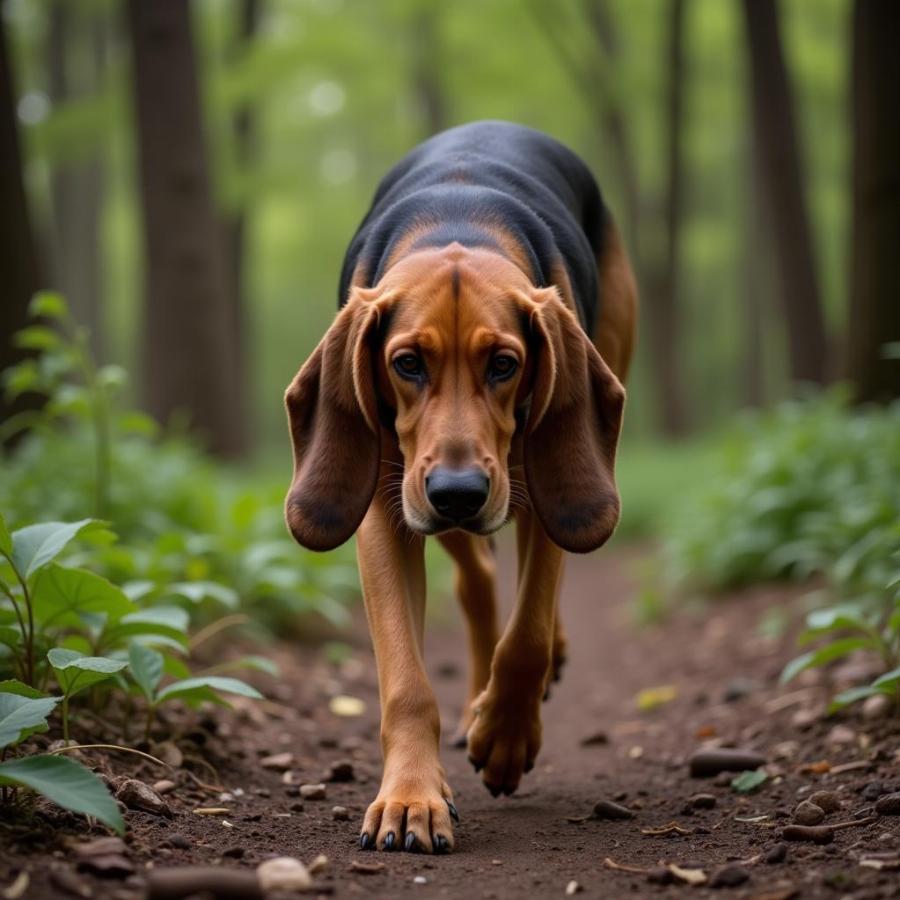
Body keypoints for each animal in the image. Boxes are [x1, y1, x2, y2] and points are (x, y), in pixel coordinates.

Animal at [284, 121, 636, 856]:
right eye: (406, 364)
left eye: (504, 363)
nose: (457, 493)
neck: (457, 223)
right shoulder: (385, 512)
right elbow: (407, 682)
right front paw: (412, 796)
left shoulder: (542, 488)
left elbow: (528, 633)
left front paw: (505, 733)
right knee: (477, 579)